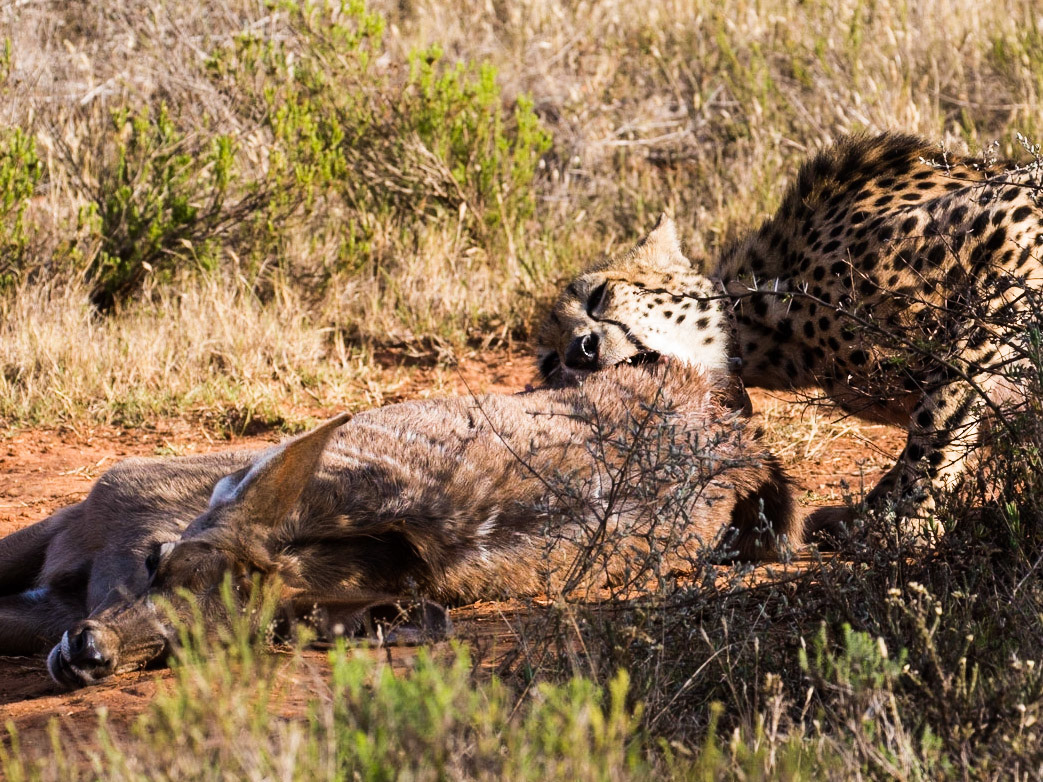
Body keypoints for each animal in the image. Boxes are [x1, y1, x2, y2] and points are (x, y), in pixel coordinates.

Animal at [537, 133, 1043, 536]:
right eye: (549, 364)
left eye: (598, 295)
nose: (581, 351)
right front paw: (868, 515)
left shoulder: (1010, 220)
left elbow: (940, 414)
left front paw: (905, 520)